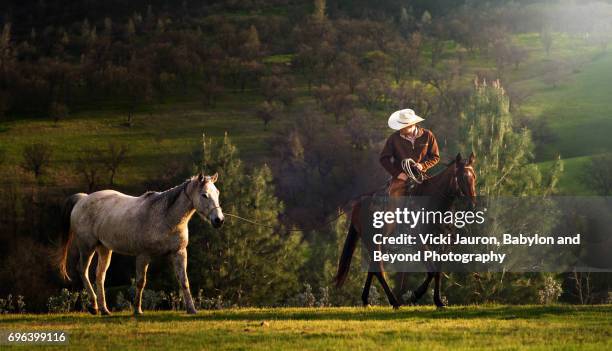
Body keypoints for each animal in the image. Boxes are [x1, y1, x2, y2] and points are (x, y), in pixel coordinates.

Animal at [57, 174, 224, 316]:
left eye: (217, 193)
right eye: (204, 195)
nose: (219, 220)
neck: (165, 216)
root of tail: (82, 199)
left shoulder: (179, 252)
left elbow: (184, 281)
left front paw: (191, 309)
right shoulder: (144, 256)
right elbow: (140, 283)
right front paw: (137, 310)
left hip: (104, 249)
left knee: (100, 276)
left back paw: (104, 309)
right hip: (87, 247)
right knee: (83, 270)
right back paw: (93, 307)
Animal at [338, 153, 476, 310]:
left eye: (474, 177)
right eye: (462, 177)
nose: (472, 205)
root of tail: (358, 205)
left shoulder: (442, 244)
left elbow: (437, 271)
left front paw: (438, 301)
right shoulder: (419, 244)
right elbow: (432, 271)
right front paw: (414, 296)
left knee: (373, 268)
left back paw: (366, 300)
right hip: (372, 241)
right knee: (378, 269)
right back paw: (394, 302)